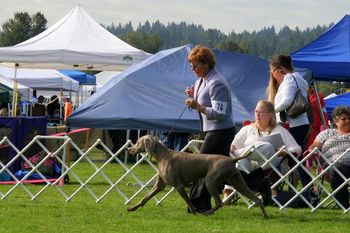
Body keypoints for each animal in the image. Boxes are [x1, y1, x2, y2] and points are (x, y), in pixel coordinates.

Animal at [127, 135, 266, 217]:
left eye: (137, 142)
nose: (129, 149)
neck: (162, 156)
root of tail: (231, 159)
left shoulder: (179, 186)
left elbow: (188, 201)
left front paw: (194, 212)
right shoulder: (159, 186)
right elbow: (145, 198)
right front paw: (133, 208)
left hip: (210, 181)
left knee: (219, 202)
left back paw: (207, 213)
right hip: (237, 182)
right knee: (257, 199)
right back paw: (265, 215)